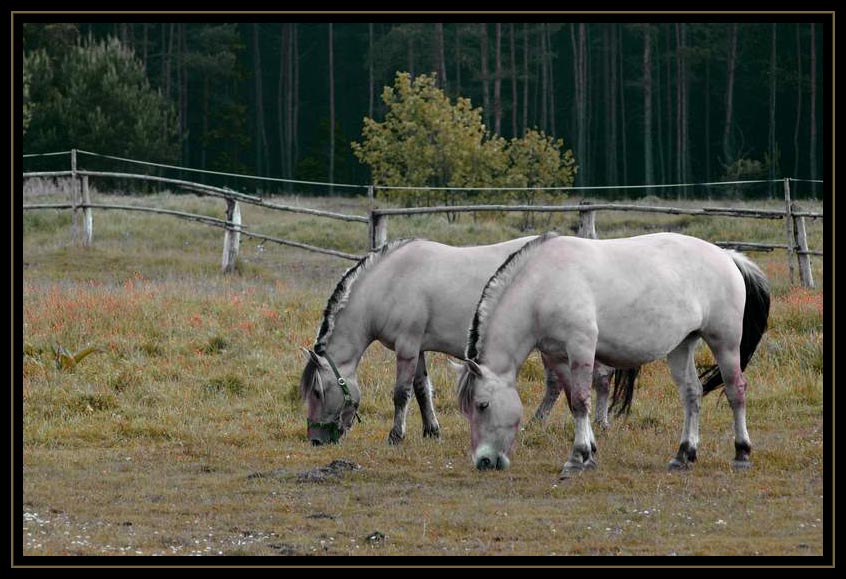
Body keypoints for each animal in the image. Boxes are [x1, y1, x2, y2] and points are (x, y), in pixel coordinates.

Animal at [298, 238, 628, 446]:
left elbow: (401, 393)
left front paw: (396, 436)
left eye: (316, 391)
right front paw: (431, 431)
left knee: (581, 381)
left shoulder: (406, 347)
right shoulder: (418, 349)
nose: (315, 440)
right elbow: (422, 390)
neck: (391, 282)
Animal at [460, 233, 772, 478]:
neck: (542, 286)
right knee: (692, 393)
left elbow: (582, 401)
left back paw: (741, 454)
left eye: (482, 405)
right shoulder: (558, 357)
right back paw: (684, 454)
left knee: (735, 391)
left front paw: (577, 457)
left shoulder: (581, 348)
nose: (483, 461)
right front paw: (590, 454)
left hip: (725, 343)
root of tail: (726, 255)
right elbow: (573, 401)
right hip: (682, 346)